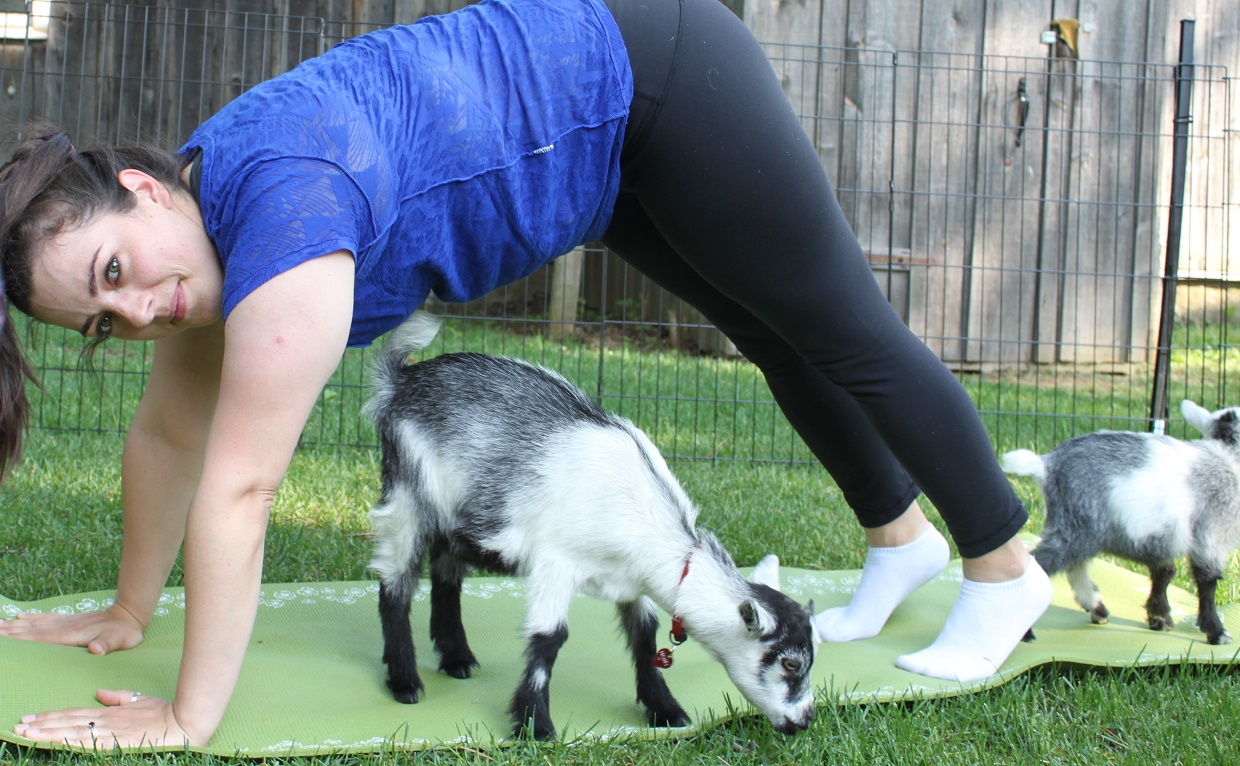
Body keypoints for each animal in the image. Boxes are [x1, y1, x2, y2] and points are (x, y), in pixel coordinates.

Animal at [362, 308, 818, 733]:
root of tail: (402, 381)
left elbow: (644, 635)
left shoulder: (632, 581)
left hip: (460, 515)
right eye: (790, 664)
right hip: (408, 491)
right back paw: (405, 681)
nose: (807, 718)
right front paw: (535, 724)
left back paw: (457, 658)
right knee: (396, 582)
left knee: (446, 574)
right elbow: (549, 638)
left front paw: (664, 709)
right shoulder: (555, 562)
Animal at [1001, 399, 1240, 644]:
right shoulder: (1211, 534)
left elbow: (1164, 573)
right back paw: (1025, 632)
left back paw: (1097, 608)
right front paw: (1216, 632)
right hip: (1078, 528)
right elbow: (1207, 581)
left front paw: (1159, 618)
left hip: (1081, 527)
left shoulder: (1159, 538)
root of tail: (1046, 465)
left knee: (1075, 566)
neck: (1227, 457)